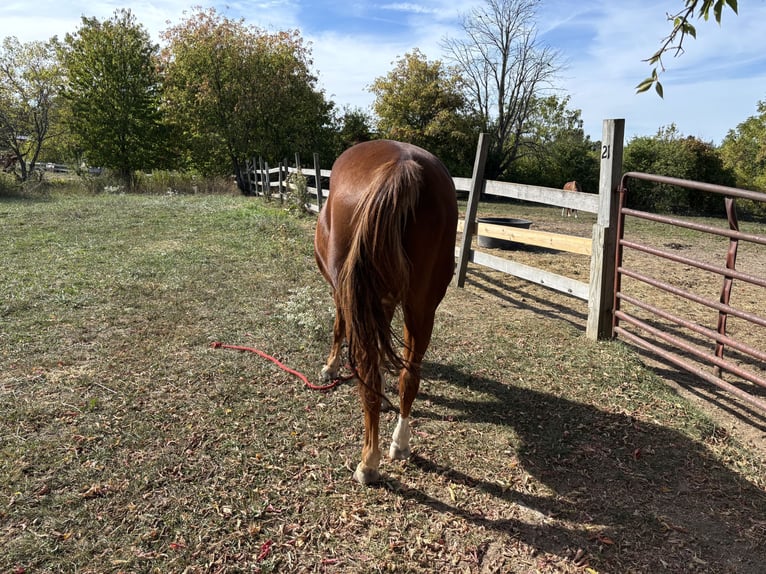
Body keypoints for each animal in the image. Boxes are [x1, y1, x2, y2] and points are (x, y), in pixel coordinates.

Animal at [314, 140, 458, 485]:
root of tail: (402, 166)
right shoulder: (386, 302)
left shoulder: (343, 294)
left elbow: (338, 327)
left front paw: (330, 366)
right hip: (422, 306)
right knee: (410, 376)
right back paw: (400, 443)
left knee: (369, 378)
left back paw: (369, 461)